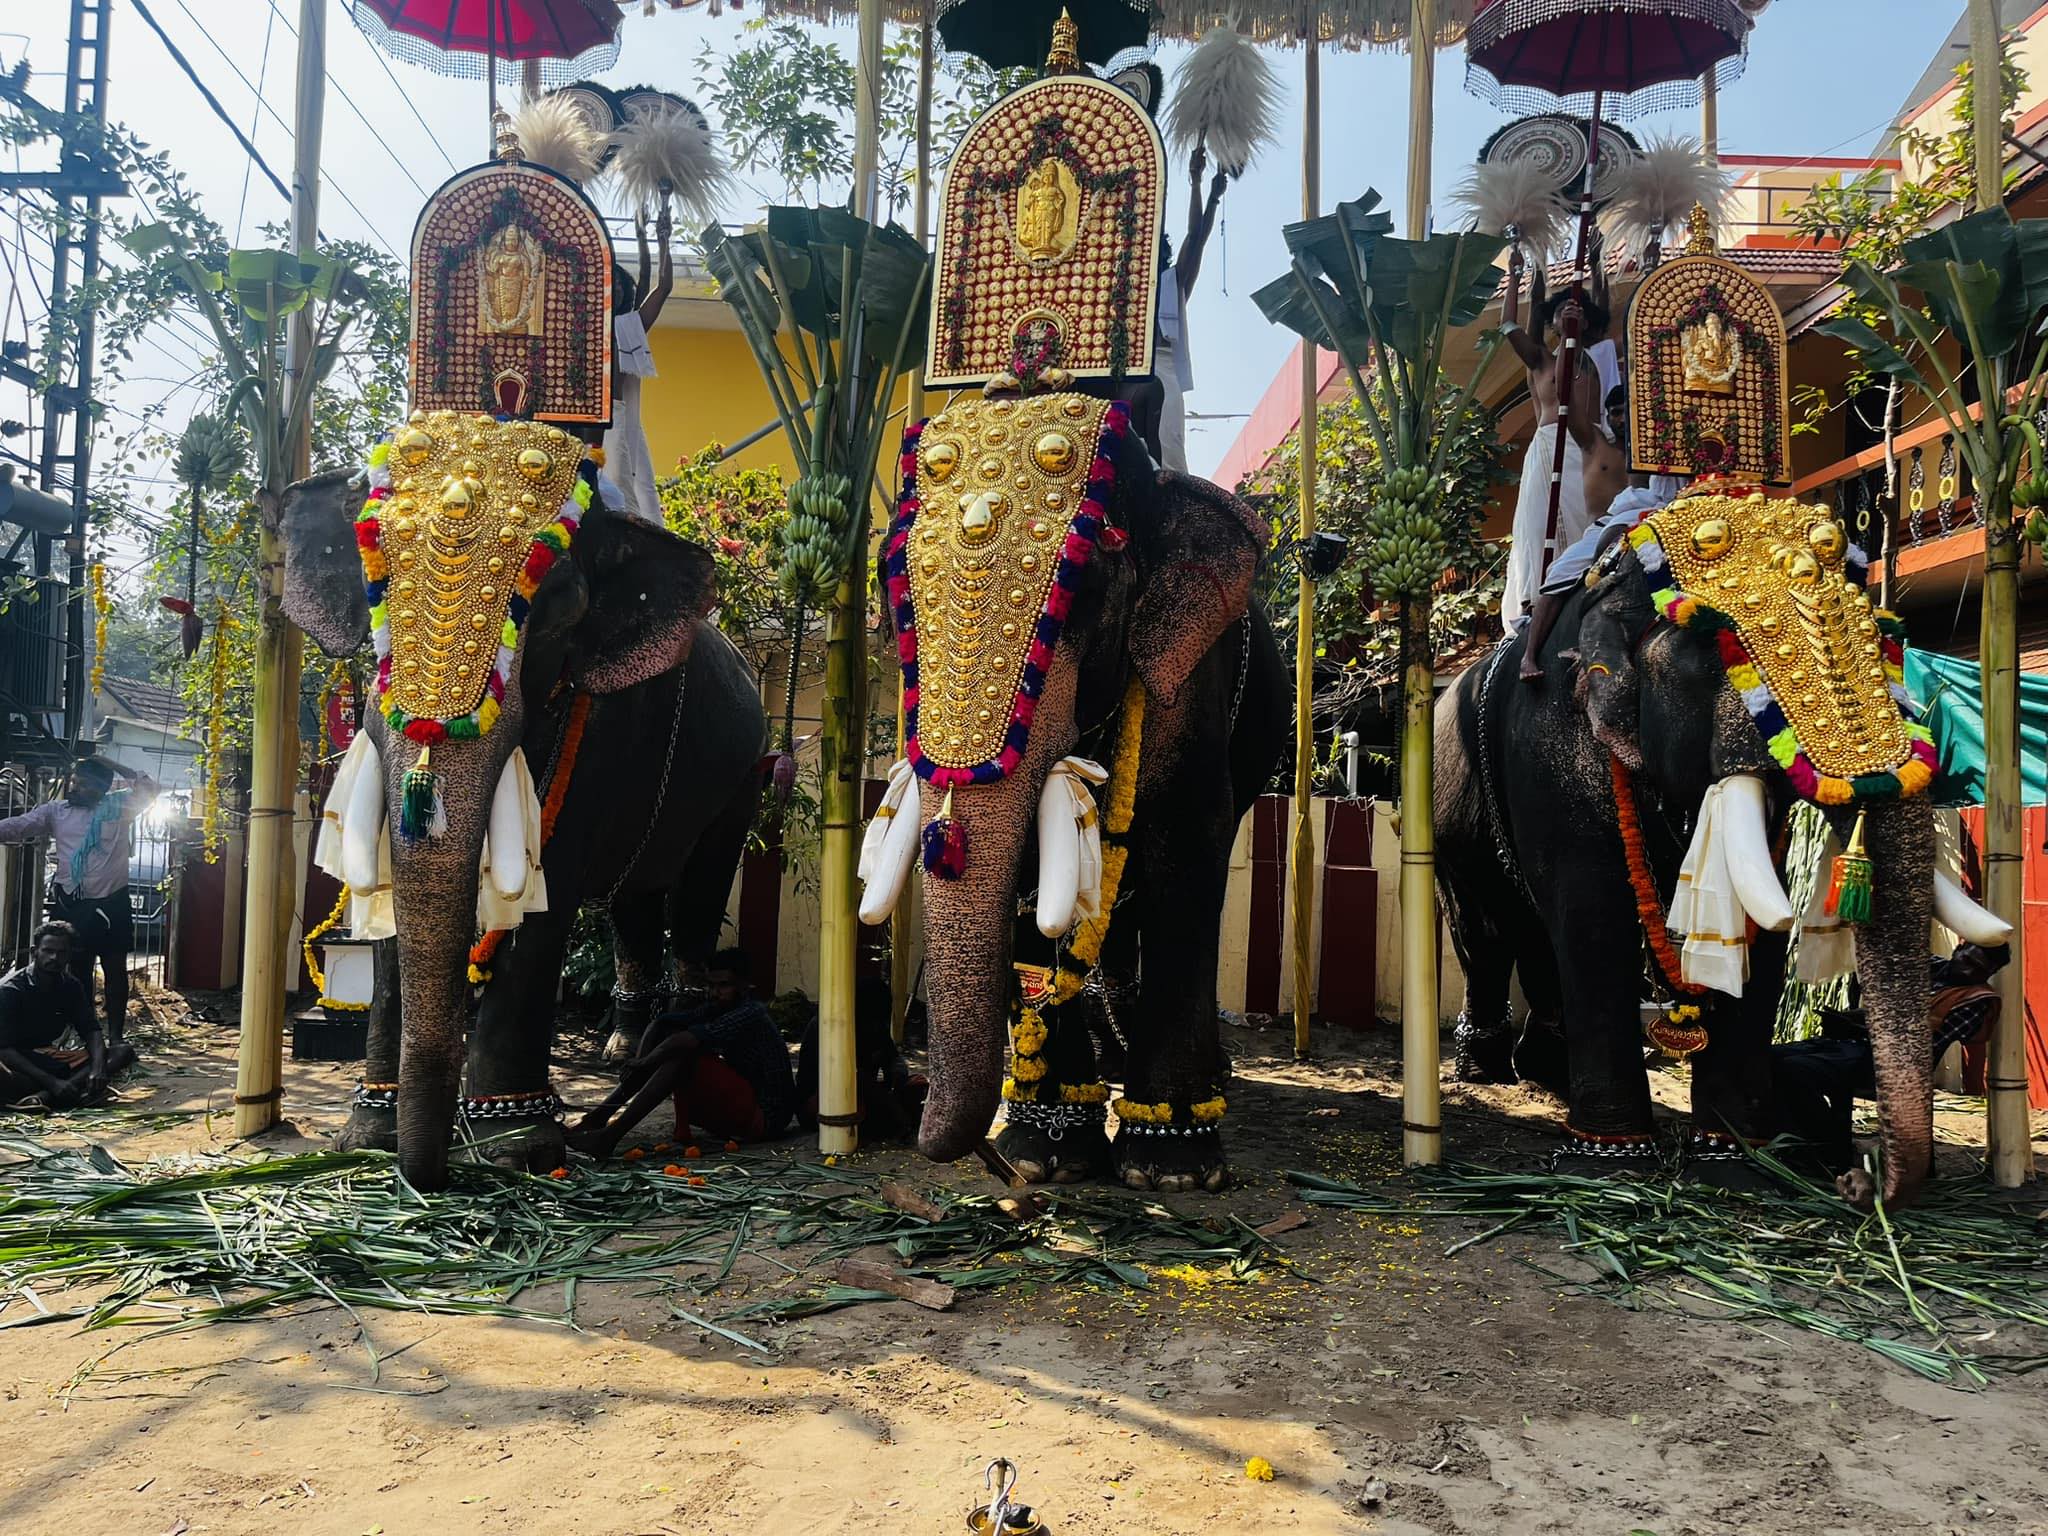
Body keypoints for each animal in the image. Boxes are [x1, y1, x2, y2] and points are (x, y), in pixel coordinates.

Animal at [284, 434, 765, 1187]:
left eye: (558, 607)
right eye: (373, 585)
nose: (427, 1175)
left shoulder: (604, 727)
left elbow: (547, 895)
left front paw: (518, 1150)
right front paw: (366, 1140)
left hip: (744, 772)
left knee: (697, 890)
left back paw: (676, 1032)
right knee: (634, 898)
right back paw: (624, 1050)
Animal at [1433, 493, 2007, 1212]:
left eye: (1887, 648)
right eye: (1722, 649)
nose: (1853, 1181)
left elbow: (1762, 924)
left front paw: (1740, 1168)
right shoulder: (1550, 744)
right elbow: (1594, 913)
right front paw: (1609, 1169)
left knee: (1531, 930)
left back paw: (1544, 1077)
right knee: (1484, 927)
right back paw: (1486, 1073)